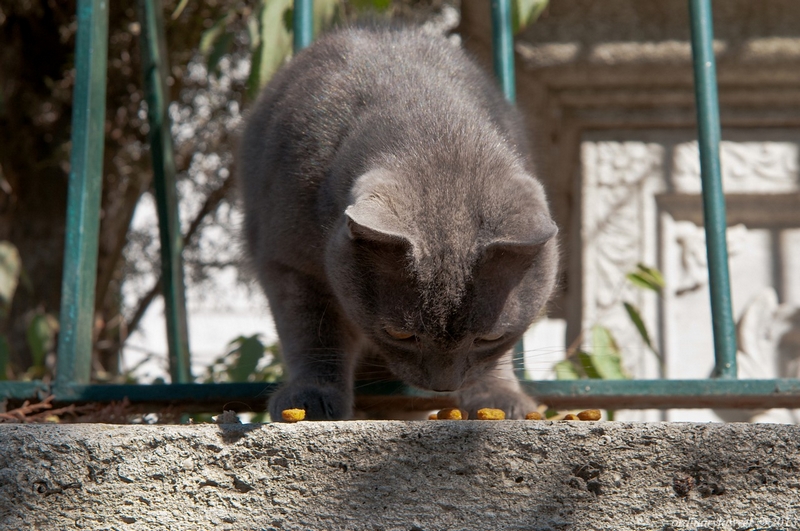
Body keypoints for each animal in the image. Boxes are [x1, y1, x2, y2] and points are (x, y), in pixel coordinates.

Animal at [239, 25, 556, 422]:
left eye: (489, 337)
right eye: (401, 335)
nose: (443, 386)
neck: (434, 127)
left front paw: (498, 401)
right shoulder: (290, 263)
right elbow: (313, 336)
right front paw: (310, 399)